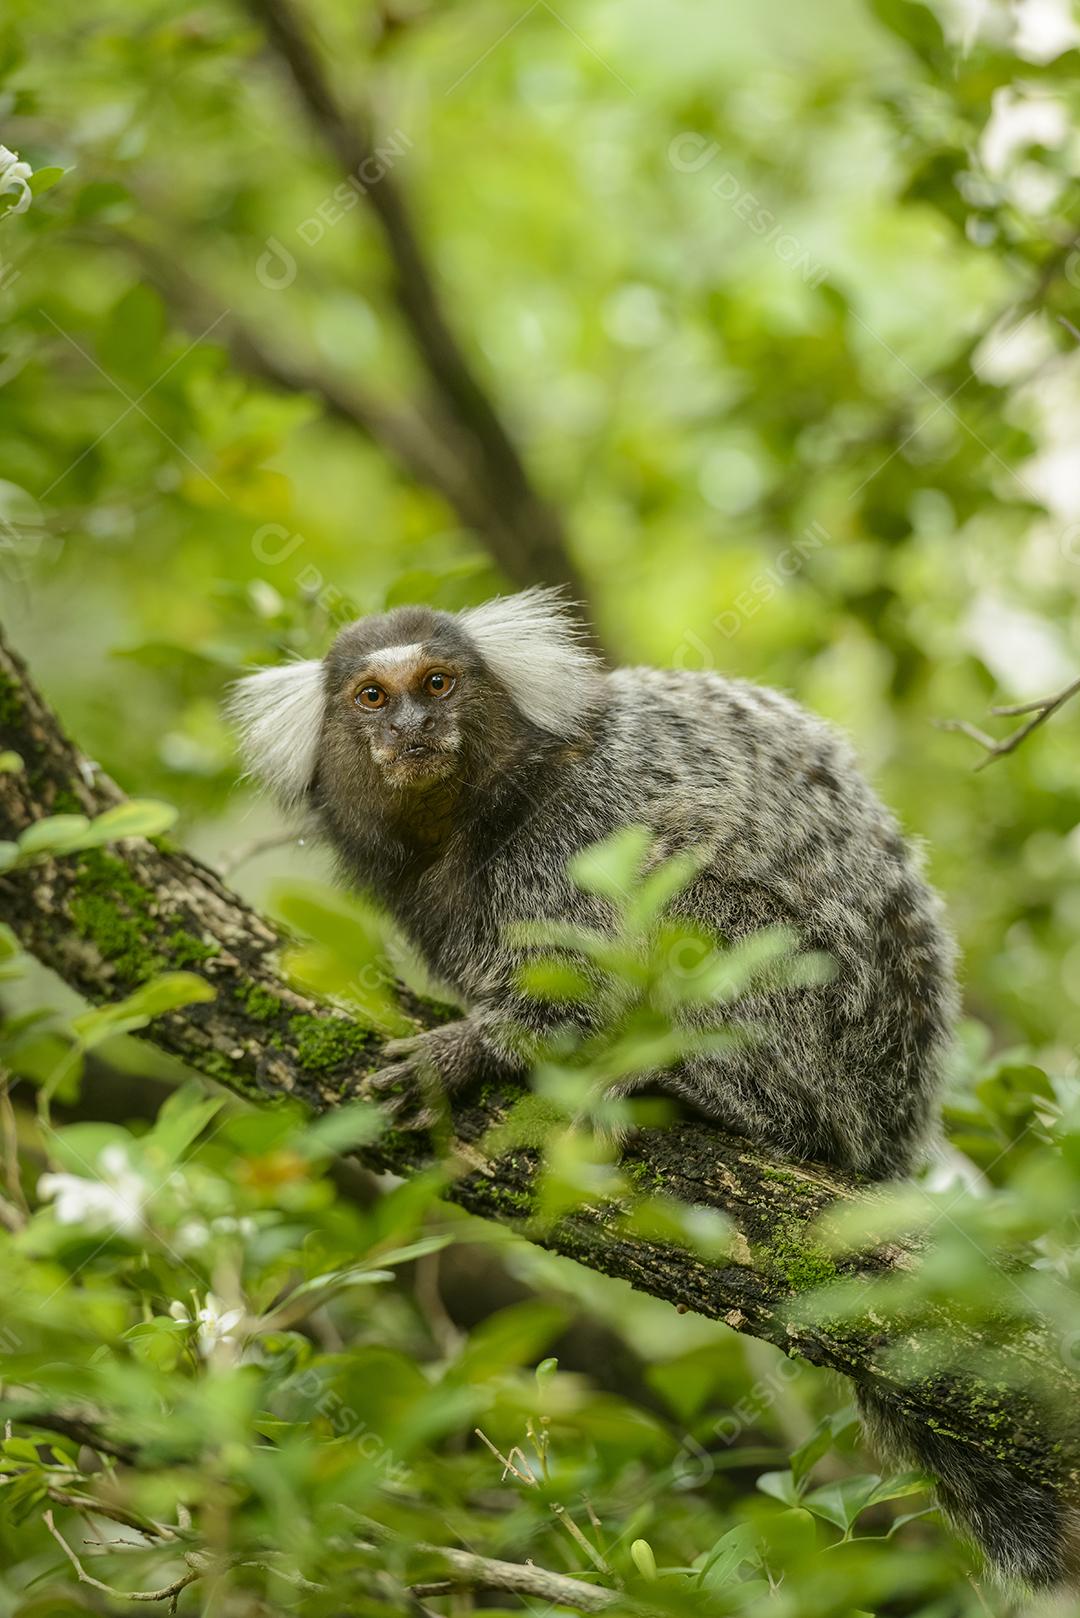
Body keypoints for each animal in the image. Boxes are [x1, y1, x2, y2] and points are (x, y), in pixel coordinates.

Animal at [229, 585, 1068, 1588]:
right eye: (370, 697)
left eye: (437, 683)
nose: (414, 728)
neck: (475, 816)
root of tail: (895, 1131)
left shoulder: (581, 830)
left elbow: (584, 968)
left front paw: (472, 1050)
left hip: (822, 1032)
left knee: (701, 901)